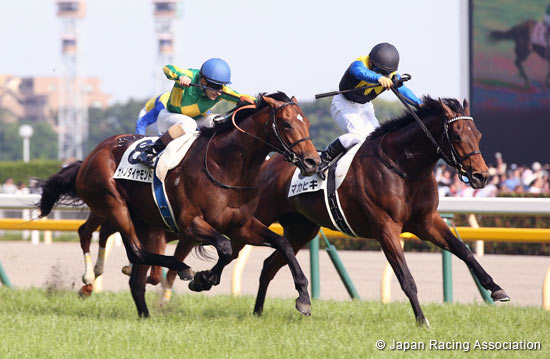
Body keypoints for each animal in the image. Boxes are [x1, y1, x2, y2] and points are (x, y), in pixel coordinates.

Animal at [38, 93, 322, 318]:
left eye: (307, 123)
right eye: (286, 123)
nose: (312, 162)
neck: (226, 166)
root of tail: (90, 156)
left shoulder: (242, 225)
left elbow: (282, 244)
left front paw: (303, 298)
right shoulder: (190, 224)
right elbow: (225, 247)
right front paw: (203, 279)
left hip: (140, 219)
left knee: (134, 271)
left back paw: (145, 313)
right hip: (113, 204)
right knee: (132, 251)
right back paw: (178, 270)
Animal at [248, 97, 512, 328]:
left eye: (478, 134)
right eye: (456, 135)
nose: (481, 176)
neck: (403, 168)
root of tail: (267, 162)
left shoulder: (427, 222)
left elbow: (462, 250)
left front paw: (496, 288)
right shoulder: (386, 228)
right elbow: (406, 278)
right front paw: (422, 320)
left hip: (302, 229)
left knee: (270, 264)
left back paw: (260, 311)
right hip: (258, 216)